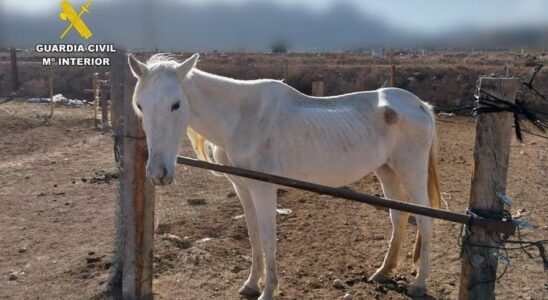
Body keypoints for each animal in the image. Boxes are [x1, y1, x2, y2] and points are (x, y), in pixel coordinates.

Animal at [127, 52, 440, 298]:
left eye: (176, 104)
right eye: (140, 105)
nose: (158, 173)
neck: (242, 118)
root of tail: (419, 105)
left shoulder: (264, 189)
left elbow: (268, 238)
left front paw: (267, 290)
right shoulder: (243, 188)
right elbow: (253, 236)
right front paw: (251, 284)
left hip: (411, 172)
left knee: (424, 220)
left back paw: (419, 284)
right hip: (387, 171)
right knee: (398, 216)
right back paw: (383, 271)